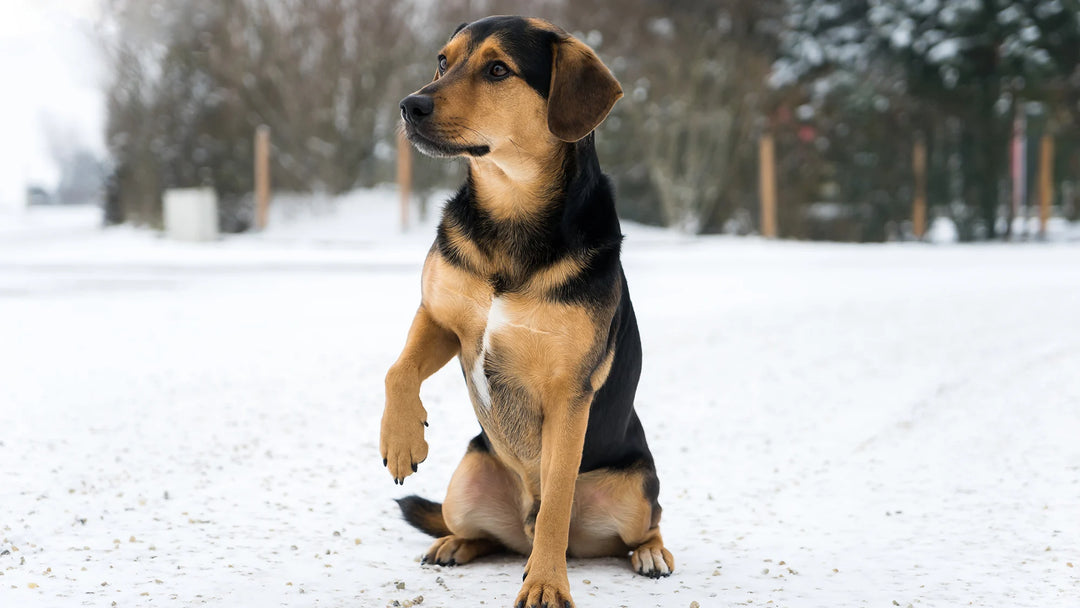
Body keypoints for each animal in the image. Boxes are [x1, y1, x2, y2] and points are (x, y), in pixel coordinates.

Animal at [375, 15, 669, 608]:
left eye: (497, 70)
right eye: (442, 61)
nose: (409, 105)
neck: (510, 213)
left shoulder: (568, 394)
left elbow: (556, 501)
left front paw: (546, 585)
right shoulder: (442, 318)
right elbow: (398, 369)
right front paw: (401, 439)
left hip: (635, 487)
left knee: (641, 524)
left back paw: (649, 554)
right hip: (465, 484)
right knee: (484, 535)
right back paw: (454, 544)